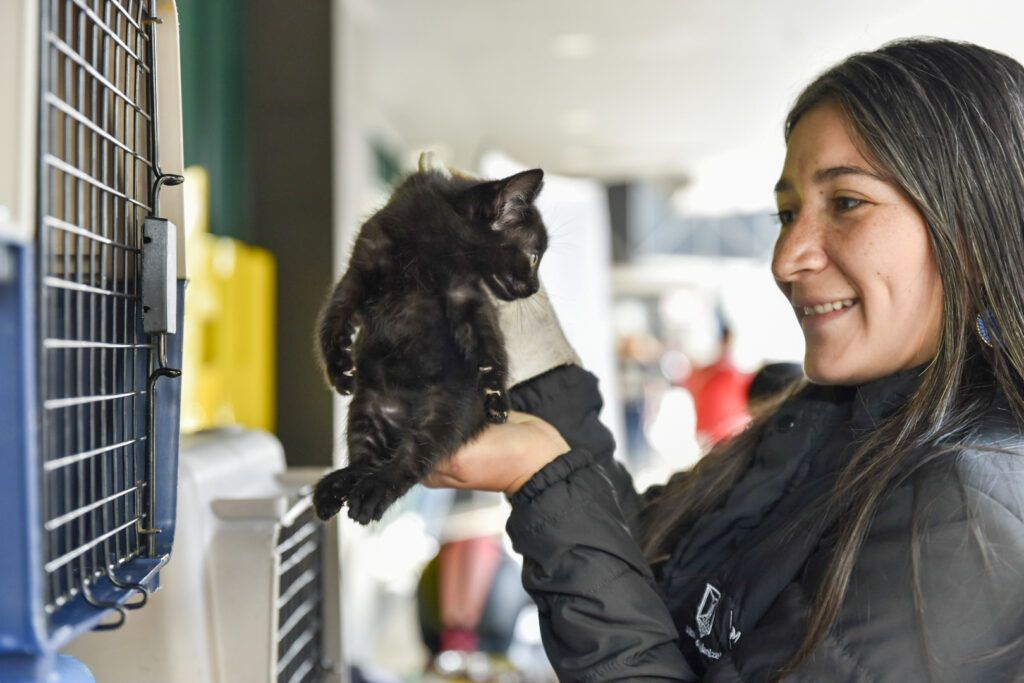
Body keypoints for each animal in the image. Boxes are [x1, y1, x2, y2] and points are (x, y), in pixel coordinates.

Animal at [311, 165, 548, 524]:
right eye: (534, 257)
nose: (534, 288)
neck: (433, 245)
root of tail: (403, 414)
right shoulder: (360, 268)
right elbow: (334, 315)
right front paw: (339, 369)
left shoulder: (466, 295)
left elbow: (489, 340)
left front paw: (496, 395)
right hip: (367, 406)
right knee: (364, 460)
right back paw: (337, 487)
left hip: (445, 412)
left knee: (408, 460)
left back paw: (372, 492)